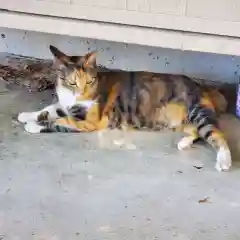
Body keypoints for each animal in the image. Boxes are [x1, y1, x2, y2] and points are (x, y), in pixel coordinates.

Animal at [17, 45, 232, 172]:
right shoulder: (66, 105)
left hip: (198, 113)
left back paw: (224, 161)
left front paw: (32, 126)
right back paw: (184, 142)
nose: (82, 93)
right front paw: (26, 115)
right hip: (182, 121)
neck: (72, 98)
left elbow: (58, 121)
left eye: (90, 81)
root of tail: (202, 86)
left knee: (217, 134)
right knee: (196, 132)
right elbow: (49, 109)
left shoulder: (88, 121)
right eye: (72, 83)